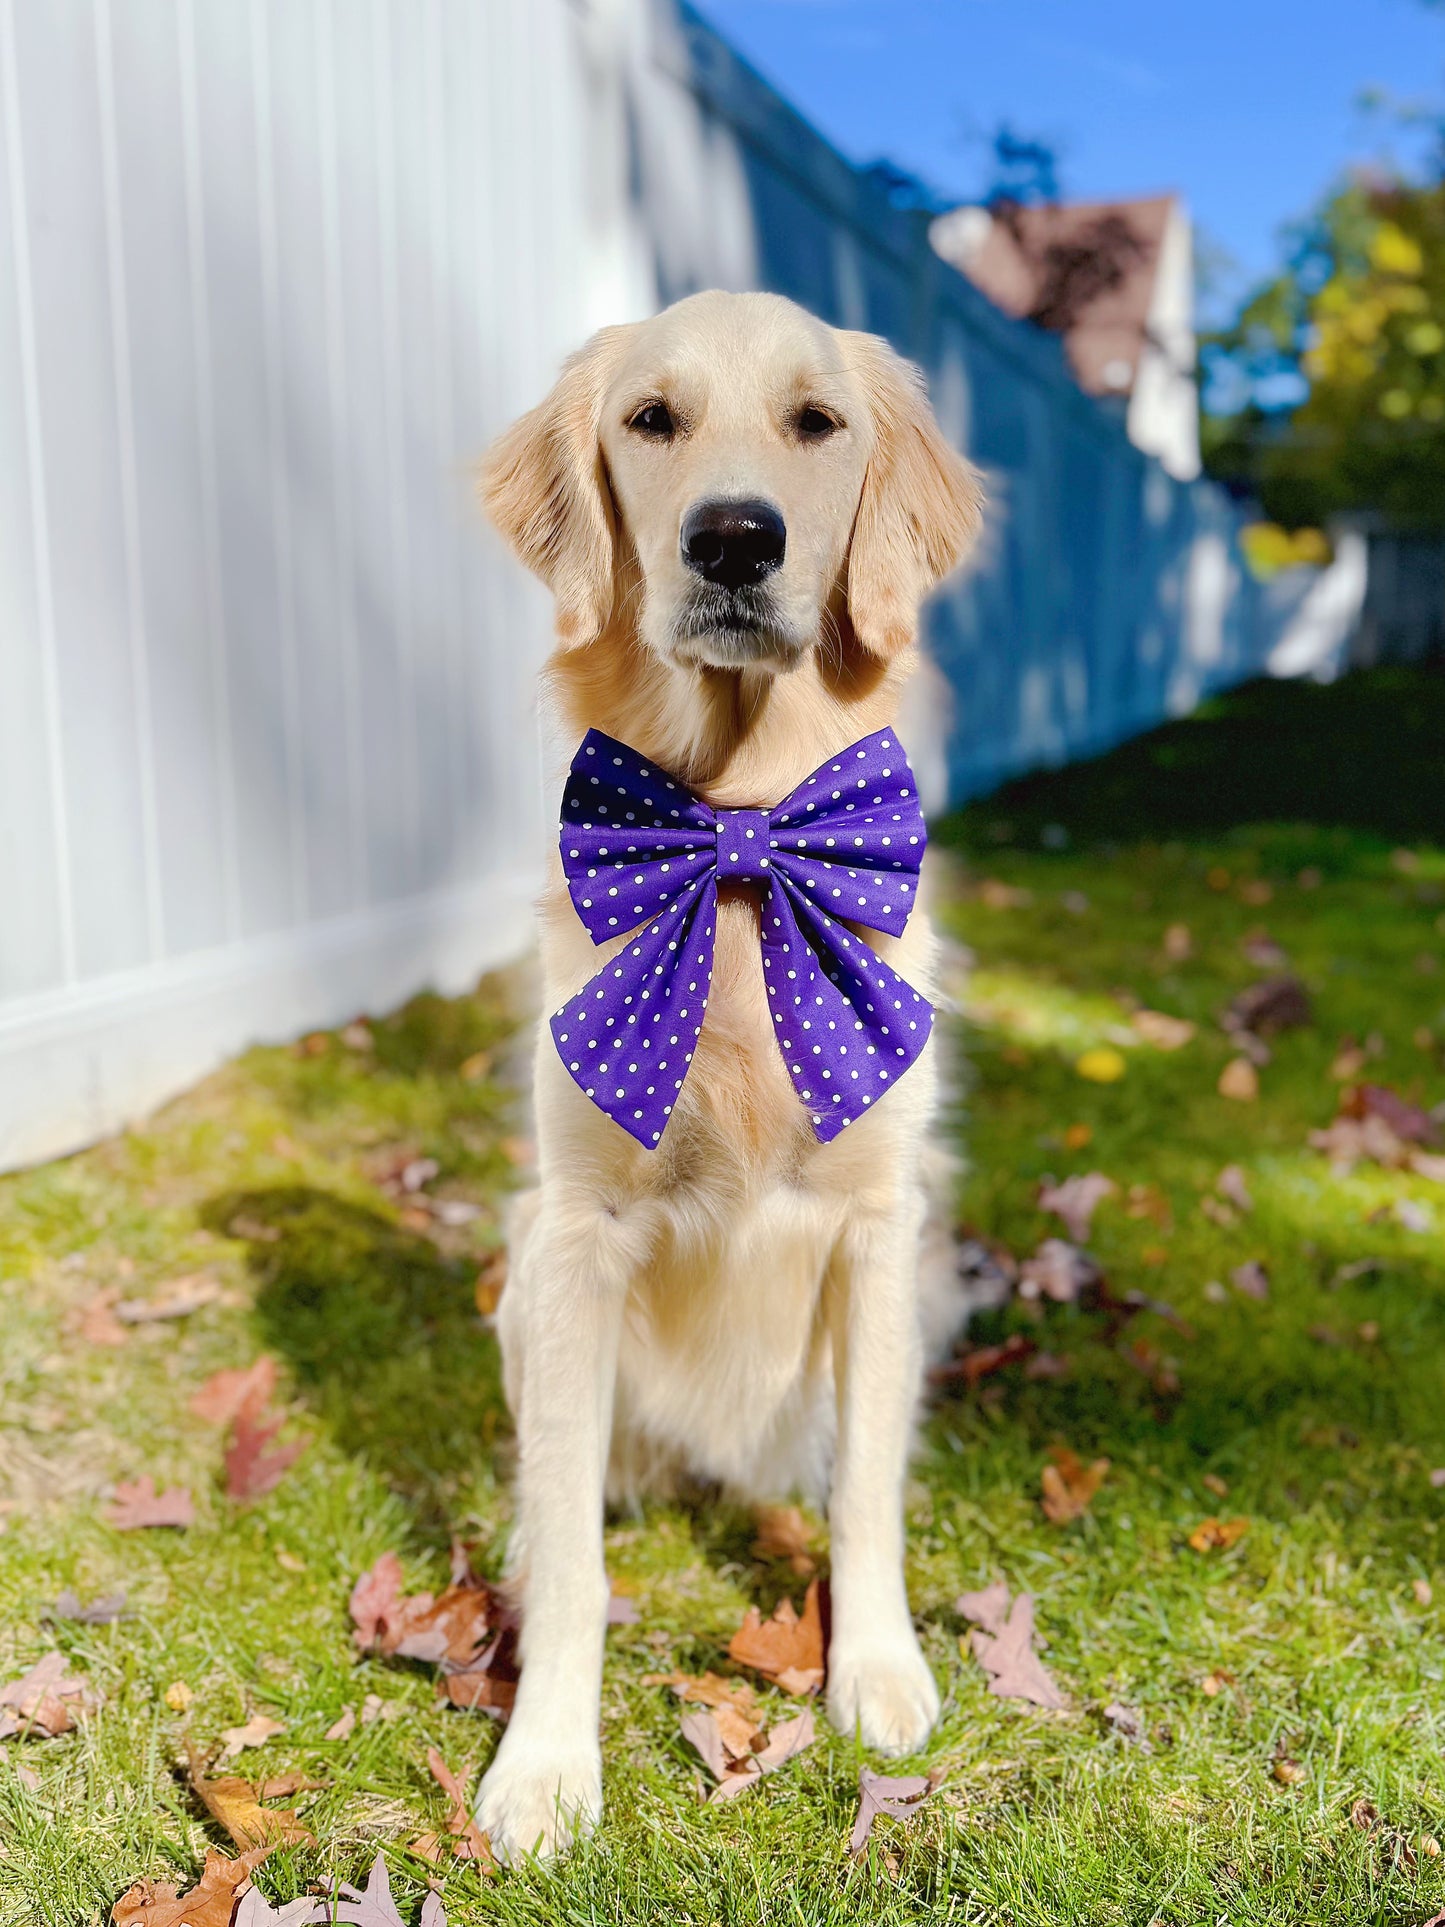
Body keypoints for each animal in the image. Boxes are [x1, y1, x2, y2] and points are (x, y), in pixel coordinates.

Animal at [475, 281, 986, 1849]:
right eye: (652, 419)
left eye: (816, 422)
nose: (735, 538)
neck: (746, 835)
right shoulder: (576, 1233)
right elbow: (571, 1550)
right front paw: (543, 1762)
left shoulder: (880, 1228)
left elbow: (868, 1487)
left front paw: (873, 1666)